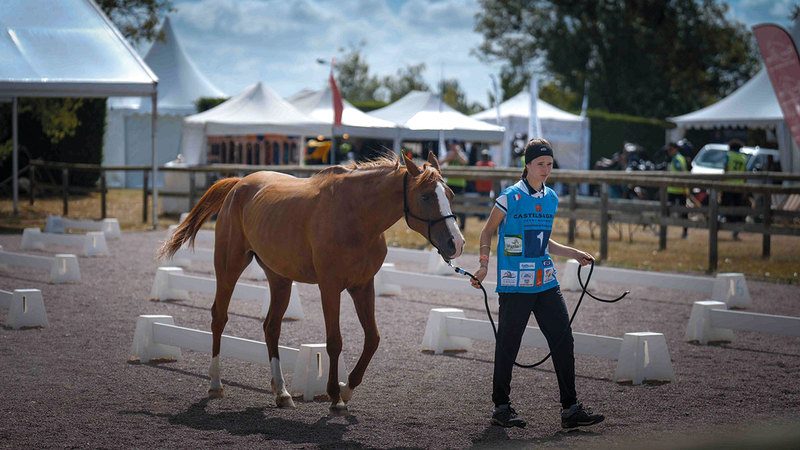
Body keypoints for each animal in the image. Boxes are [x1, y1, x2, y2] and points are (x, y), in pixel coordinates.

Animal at [158, 152, 462, 412]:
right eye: (425, 196)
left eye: (450, 194)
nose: (456, 243)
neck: (356, 216)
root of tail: (239, 184)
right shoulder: (330, 286)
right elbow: (334, 341)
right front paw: (334, 396)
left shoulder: (363, 285)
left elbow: (372, 338)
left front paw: (347, 389)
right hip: (228, 267)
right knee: (219, 318)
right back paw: (215, 384)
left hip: (279, 278)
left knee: (271, 327)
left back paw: (282, 392)